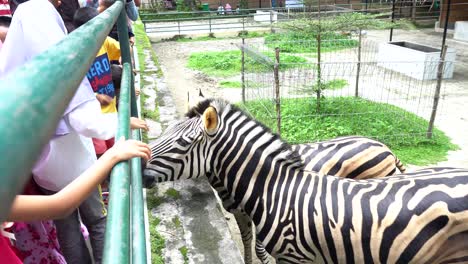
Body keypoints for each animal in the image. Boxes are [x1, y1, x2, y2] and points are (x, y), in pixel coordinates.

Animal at [144, 99, 468, 264]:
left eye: (184, 143)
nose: (142, 167)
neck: (274, 190)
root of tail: (385, 147)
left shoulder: (293, 255)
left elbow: (260, 249)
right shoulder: (241, 213)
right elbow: (248, 242)